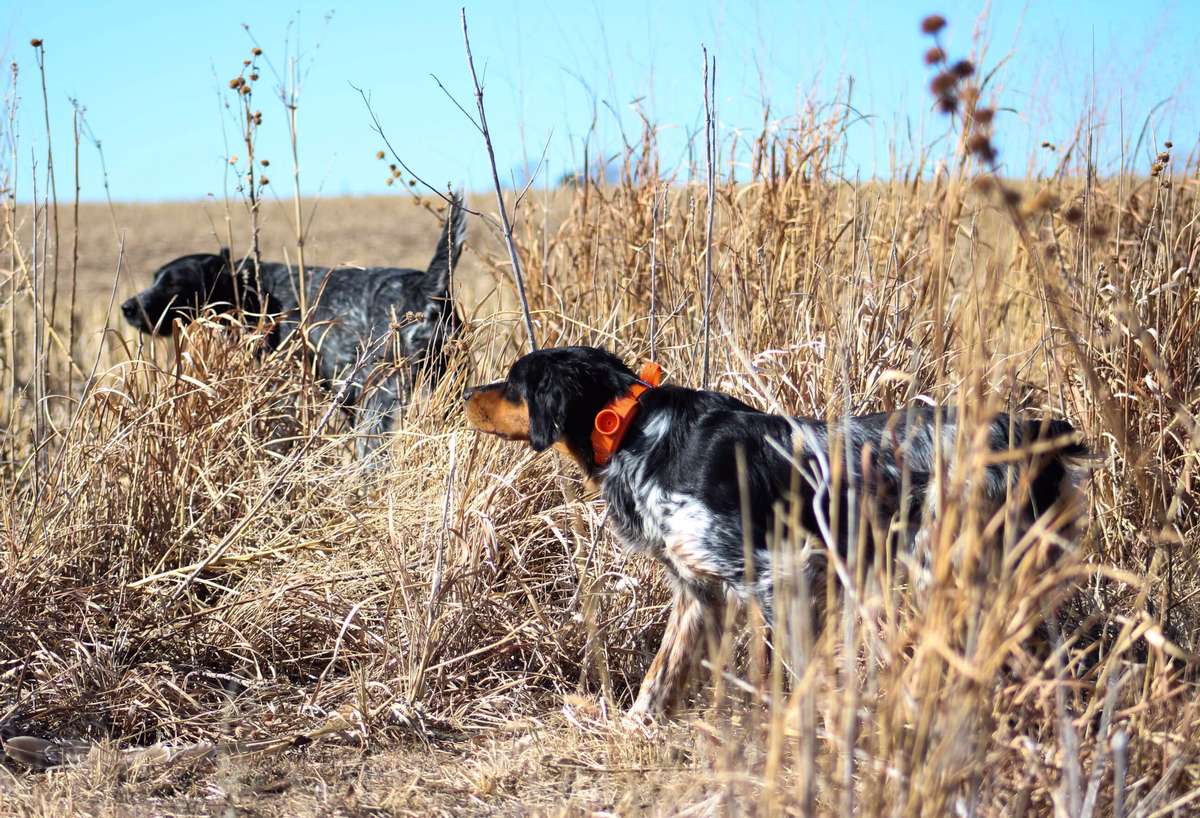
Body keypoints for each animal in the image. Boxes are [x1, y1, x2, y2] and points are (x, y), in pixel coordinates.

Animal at [121, 195, 465, 455]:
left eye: (173, 284)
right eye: (155, 278)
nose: (127, 307)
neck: (256, 292)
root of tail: (425, 288)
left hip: (378, 401)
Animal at [463, 343, 1094, 719]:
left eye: (515, 382)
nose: (466, 392)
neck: (635, 430)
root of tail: (1038, 432)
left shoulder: (779, 571)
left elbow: (799, 665)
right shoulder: (697, 590)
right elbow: (662, 673)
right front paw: (636, 728)